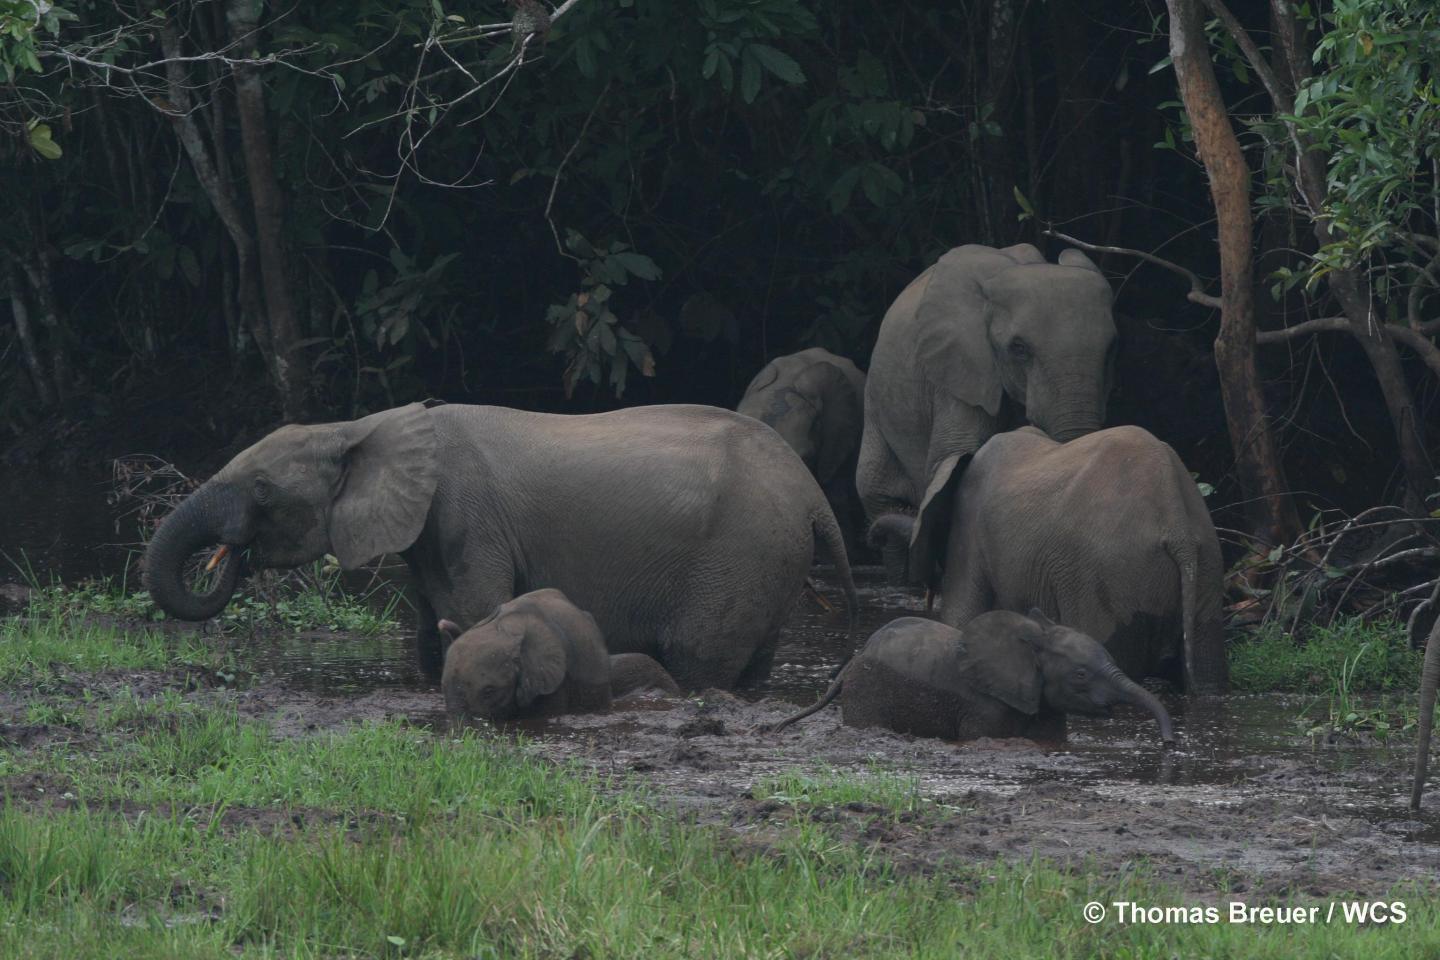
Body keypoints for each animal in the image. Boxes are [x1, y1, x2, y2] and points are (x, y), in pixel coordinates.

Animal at [141, 402, 857, 691]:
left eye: (262, 490)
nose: (229, 556)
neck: (359, 425)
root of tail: (814, 495)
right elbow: (430, 638)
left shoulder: (467, 518)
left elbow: (475, 613)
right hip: (768, 560)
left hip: (739, 557)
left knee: (698, 660)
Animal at [856, 243, 1116, 585]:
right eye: (1019, 348)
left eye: (1111, 349)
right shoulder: (958, 370)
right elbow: (957, 453)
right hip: (876, 402)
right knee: (877, 493)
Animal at [868, 425, 1226, 693]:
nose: (872, 536)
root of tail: (1176, 522)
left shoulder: (968, 535)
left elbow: (960, 618)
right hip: (1206, 566)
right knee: (1208, 673)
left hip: (1106, 579)